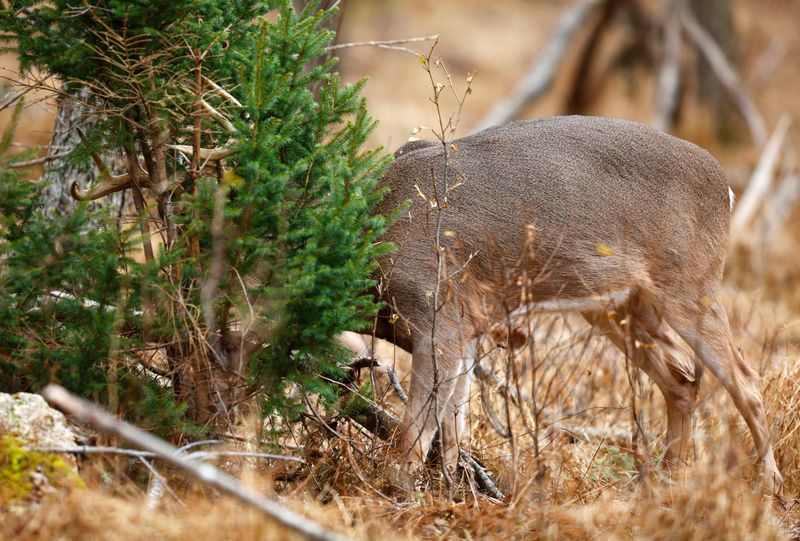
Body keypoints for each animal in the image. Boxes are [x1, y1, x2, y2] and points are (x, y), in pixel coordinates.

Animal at [369, 115, 783, 497]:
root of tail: (725, 187)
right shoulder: (467, 321)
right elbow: (455, 419)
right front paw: (455, 489)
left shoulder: (437, 313)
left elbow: (419, 425)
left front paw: (400, 490)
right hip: (620, 303)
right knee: (681, 377)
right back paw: (666, 480)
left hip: (690, 282)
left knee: (745, 379)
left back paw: (768, 484)